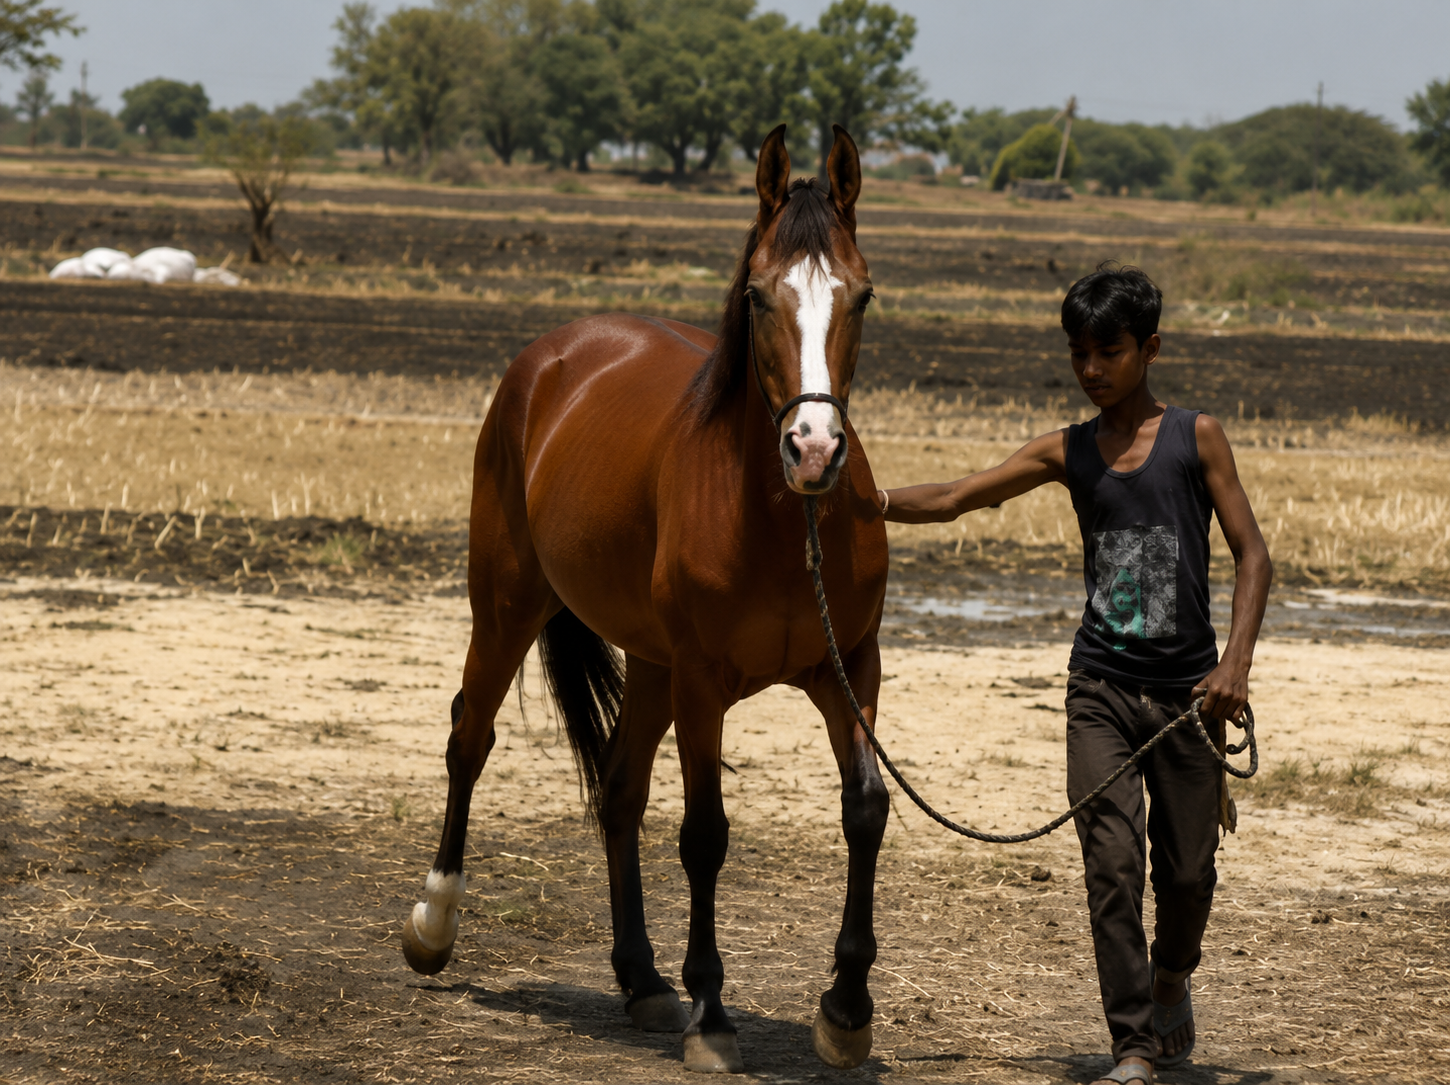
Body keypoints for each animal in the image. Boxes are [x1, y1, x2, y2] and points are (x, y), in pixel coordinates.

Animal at [401, 124, 891, 1074]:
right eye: (758, 295)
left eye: (862, 295)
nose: (814, 448)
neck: (782, 521)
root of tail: (556, 353)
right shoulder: (703, 682)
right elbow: (705, 834)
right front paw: (715, 1016)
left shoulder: (849, 669)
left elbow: (866, 809)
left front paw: (846, 1008)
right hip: (507, 605)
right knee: (469, 738)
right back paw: (434, 926)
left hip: (651, 661)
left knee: (620, 788)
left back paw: (643, 979)